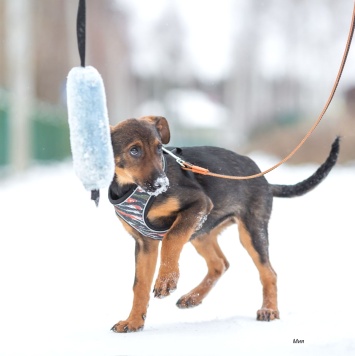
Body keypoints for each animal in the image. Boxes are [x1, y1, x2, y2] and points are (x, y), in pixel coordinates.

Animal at [108, 115, 340, 332]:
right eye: (134, 150)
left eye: (158, 148)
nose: (162, 184)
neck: (131, 187)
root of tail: (264, 180)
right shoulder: (144, 243)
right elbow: (139, 285)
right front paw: (133, 321)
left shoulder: (199, 203)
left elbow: (171, 239)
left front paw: (167, 280)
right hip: (201, 231)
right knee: (220, 263)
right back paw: (193, 297)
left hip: (249, 231)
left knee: (268, 273)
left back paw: (269, 309)